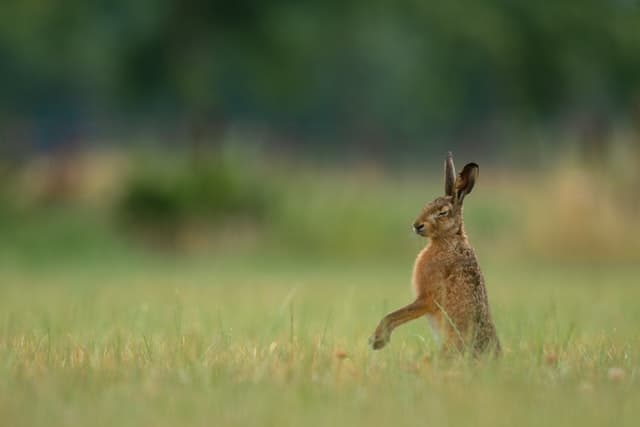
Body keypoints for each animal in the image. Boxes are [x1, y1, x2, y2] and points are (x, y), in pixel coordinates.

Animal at [369, 152, 500, 355]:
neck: (448, 240)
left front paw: (378, 340)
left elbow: (396, 315)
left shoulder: (428, 297)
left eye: (442, 212)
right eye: (426, 205)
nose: (417, 225)